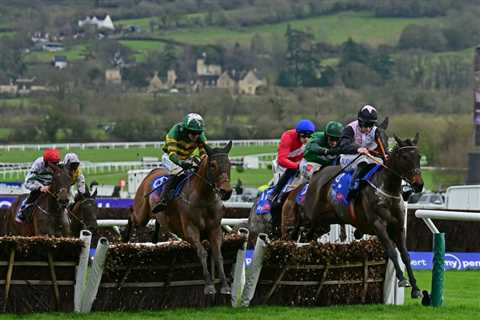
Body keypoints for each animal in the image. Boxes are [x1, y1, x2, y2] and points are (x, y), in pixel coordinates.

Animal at [124, 142, 234, 296]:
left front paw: (225, 285)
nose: (226, 191)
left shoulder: (215, 229)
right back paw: (125, 236)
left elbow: (218, 255)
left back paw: (154, 236)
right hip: (141, 214)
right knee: (131, 213)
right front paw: (209, 285)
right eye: (213, 165)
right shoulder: (189, 230)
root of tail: (152, 172)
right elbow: (202, 252)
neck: (203, 199)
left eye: (229, 164)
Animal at [304, 134, 424, 298]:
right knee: (305, 234)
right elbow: (392, 251)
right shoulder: (378, 225)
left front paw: (416, 288)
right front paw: (402, 279)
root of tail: (318, 173)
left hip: (329, 219)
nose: (419, 185)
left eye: (419, 156)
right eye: (405, 157)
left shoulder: (398, 227)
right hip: (313, 215)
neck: (387, 191)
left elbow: (405, 256)